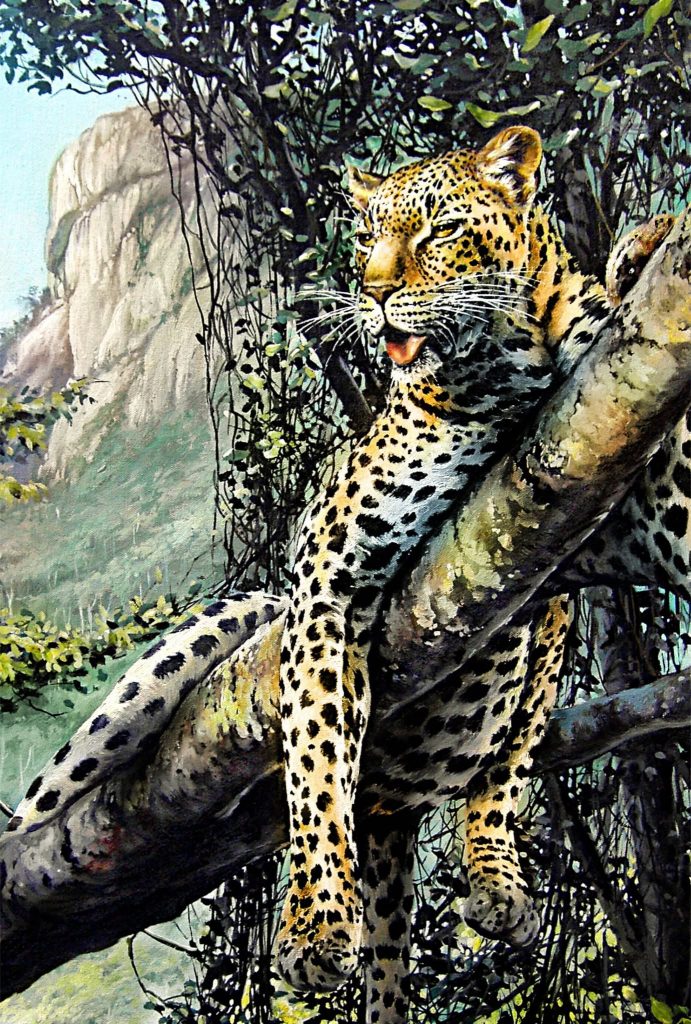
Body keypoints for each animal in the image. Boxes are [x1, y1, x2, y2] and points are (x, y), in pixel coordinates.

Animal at [5, 129, 688, 1024]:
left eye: (436, 231)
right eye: (365, 240)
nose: (374, 293)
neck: (504, 373)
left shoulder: (576, 553)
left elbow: (509, 759)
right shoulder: (331, 585)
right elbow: (319, 765)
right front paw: (316, 932)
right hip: (202, 649)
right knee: (46, 805)